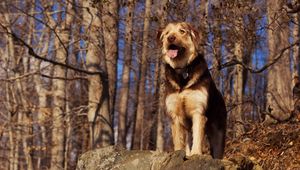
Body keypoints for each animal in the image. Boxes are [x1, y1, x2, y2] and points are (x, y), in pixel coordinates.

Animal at [157, 21, 227, 159]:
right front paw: (178, 153)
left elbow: (198, 138)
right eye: (167, 33)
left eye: (182, 31)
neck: (183, 71)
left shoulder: (198, 112)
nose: (170, 38)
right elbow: (179, 141)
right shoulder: (176, 116)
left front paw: (196, 154)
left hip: (218, 132)